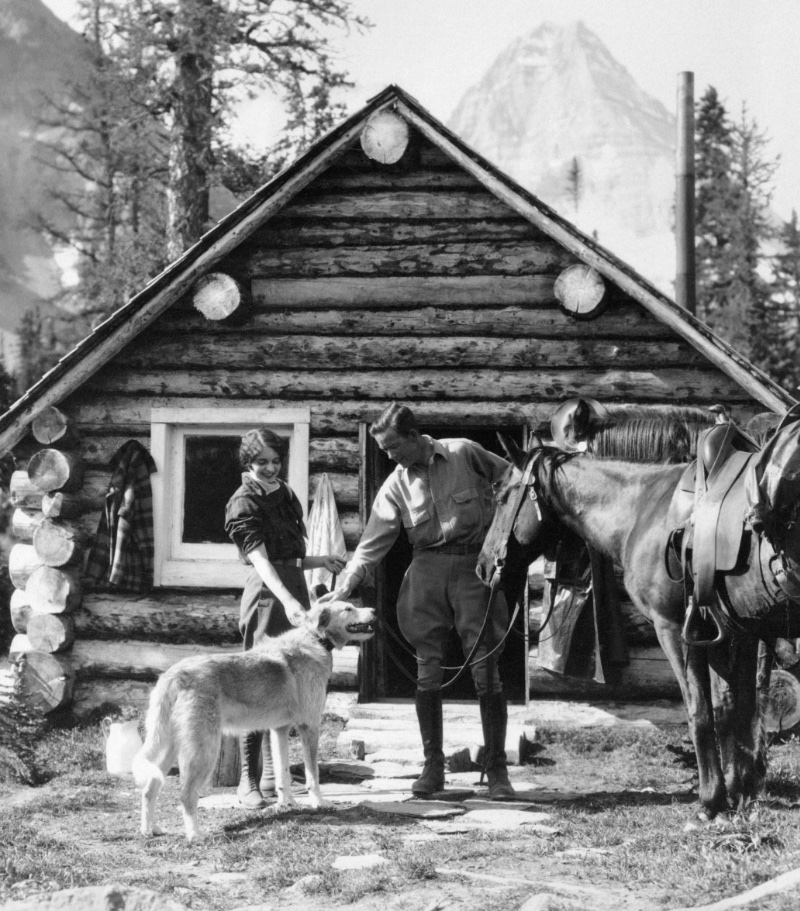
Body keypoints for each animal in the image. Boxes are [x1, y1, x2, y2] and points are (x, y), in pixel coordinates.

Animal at [476, 426, 800, 820]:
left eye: (503, 495)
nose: (484, 566)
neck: (645, 512)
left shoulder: (676, 629)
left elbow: (700, 711)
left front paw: (711, 800)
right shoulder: (734, 632)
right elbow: (733, 709)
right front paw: (739, 793)